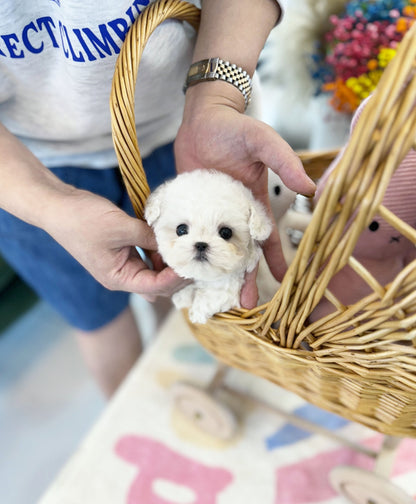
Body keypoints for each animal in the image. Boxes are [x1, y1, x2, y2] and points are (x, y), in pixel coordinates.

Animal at [145, 169, 272, 324]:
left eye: (226, 232)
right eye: (181, 230)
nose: (201, 245)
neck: (206, 277)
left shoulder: (231, 285)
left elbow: (216, 296)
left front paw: (197, 311)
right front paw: (182, 296)